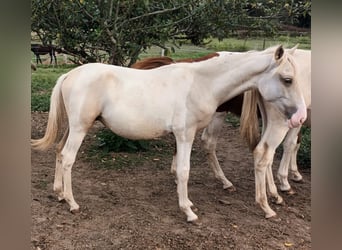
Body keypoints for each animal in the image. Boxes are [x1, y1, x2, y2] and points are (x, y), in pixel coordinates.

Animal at [30, 45, 306, 223]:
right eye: (288, 79)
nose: (300, 116)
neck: (201, 82)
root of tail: (70, 74)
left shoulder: (184, 135)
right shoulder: (185, 134)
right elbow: (183, 171)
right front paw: (188, 212)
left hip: (72, 127)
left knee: (58, 152)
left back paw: (59, 194)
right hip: (80, 128)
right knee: (68, 158)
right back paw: (72, 203)